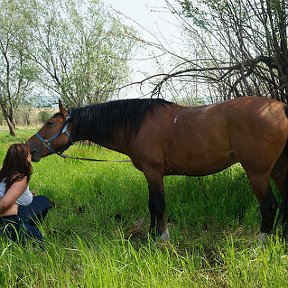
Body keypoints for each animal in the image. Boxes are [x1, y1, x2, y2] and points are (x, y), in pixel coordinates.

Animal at [27, 97, 288, 241]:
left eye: (50, 122)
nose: (31, 148)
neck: (136, 124)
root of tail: (281, 108)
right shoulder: (149, 174)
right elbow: (151, 204)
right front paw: (152, 234)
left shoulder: (154, 172)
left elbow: (158, 205)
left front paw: (161, 237)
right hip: (278, 170)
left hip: (257, 173)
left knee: (269, 206)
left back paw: (261, 243)